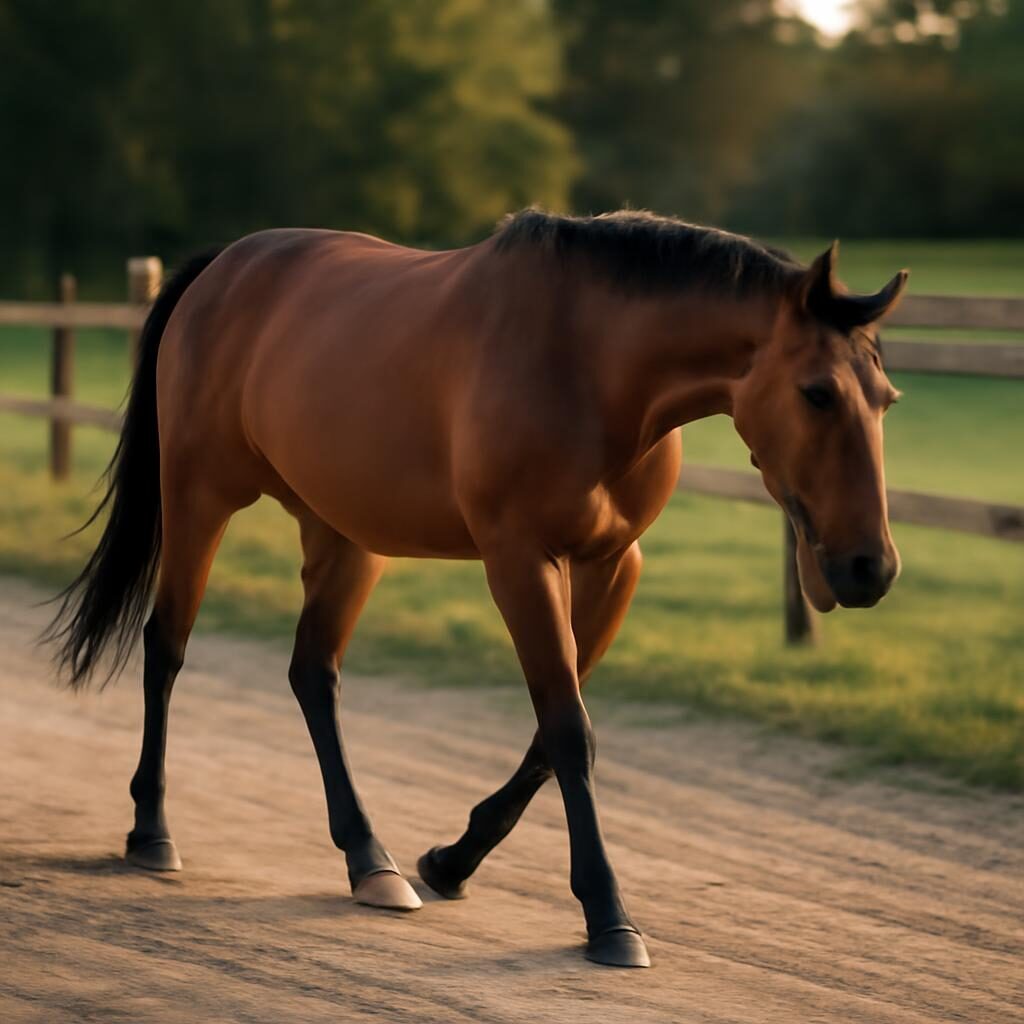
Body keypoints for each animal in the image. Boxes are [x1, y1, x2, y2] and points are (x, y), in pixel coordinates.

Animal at [45, 209, 907, 968]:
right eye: (817, 392)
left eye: (886, 398)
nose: (872, 568)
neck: (591, 363)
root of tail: (226, 264)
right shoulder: (519, 560)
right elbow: (568, 729)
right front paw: (609, 918)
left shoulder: (613, 564)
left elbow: (553, 732)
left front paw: (451, 860)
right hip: (201, 496)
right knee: (167, 646)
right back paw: (152, 831)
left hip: (343, 533)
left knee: (312, 674)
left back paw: (371, 861)